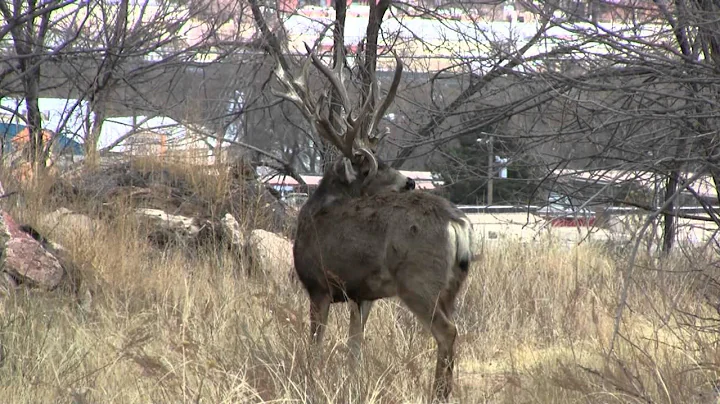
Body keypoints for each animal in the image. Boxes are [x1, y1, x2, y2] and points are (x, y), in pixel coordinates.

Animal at [272, 45, 474, 402]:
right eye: (374, 165)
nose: (410, 181)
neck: (314, 214)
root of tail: (457, 223)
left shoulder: (319, 285)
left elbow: (315, 345)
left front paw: (310, 379)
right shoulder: (361, 294)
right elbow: (355, 346)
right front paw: (353, 383)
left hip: (419, 280)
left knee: (447, 332)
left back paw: (437, 393)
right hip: (452, 286)